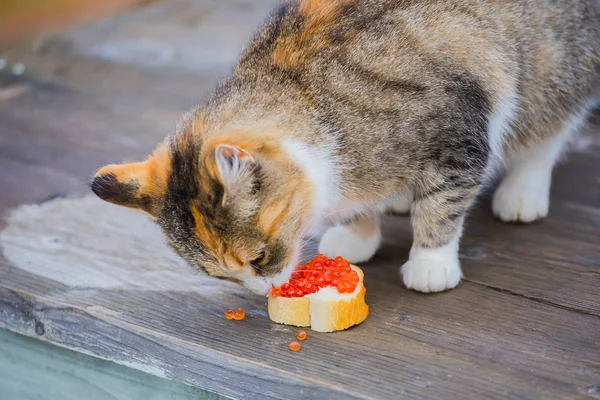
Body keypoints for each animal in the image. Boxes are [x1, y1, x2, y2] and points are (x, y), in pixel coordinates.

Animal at [90, 0, 600, 294]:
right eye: (222, 276)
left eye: (257, 259)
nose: (262, 291)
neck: (311, 98)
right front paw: (357, 233)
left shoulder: (457, 137)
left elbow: (443, 208)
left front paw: (430, 263)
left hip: (553, 69)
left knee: (547, 133)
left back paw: (523, 191)